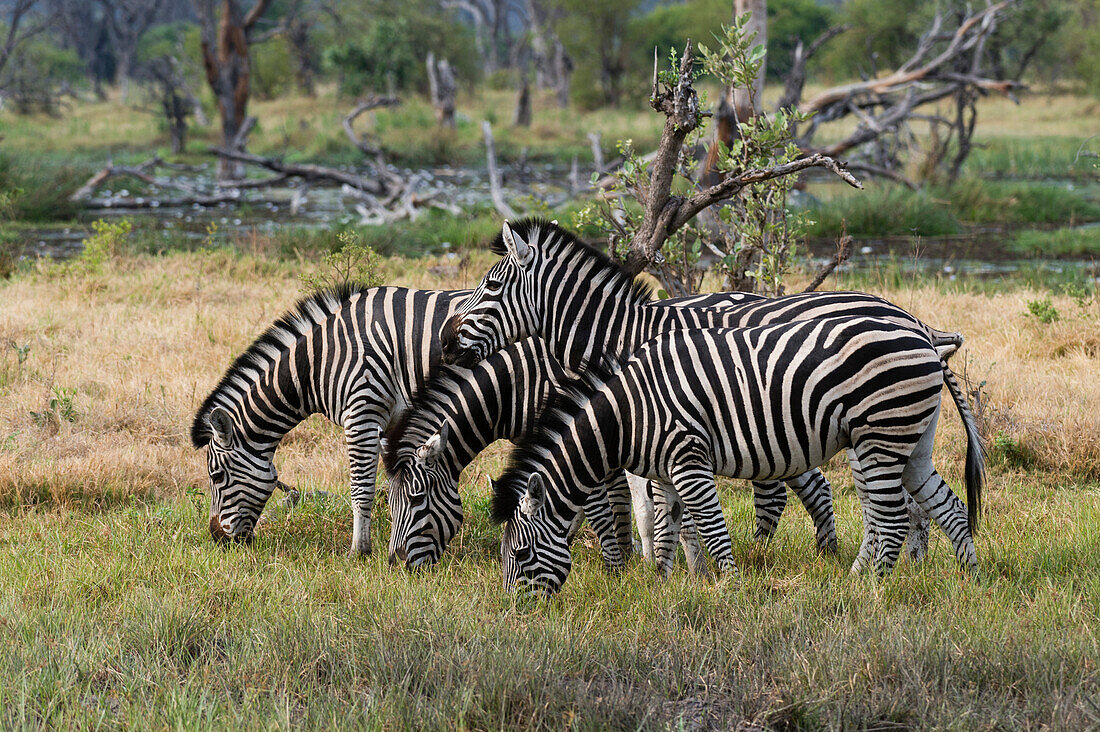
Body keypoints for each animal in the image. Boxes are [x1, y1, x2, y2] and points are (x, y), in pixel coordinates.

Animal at [190, 286, 468, 554]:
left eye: (216, 476)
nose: (217, 539)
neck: (320, 362)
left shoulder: (362, 412)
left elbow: (361, 488)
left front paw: (360, 550)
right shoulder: (391, 422)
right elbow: (397, 482)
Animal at [435, 220, 972, 567]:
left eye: (491, 286)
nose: (444, 339)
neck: (625, 333)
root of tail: (916, 324)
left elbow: (652, 510)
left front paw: (665, 568)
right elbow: (660, 509)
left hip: (872, 430)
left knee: (890, 507)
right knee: (911, 503)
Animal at [495, 319, 985, 594]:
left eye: (520, 553)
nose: (516, 610)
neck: (629, 414)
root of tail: (925, 337)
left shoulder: (689, 459)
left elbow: (712, 530)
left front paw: (730, 587)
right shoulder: (668, 473)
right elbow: (668, 528)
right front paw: (661, 588)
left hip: (881, 435)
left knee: (893, 519)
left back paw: (872, 590)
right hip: (913, 440)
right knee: (950, 507)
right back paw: (968, 580)